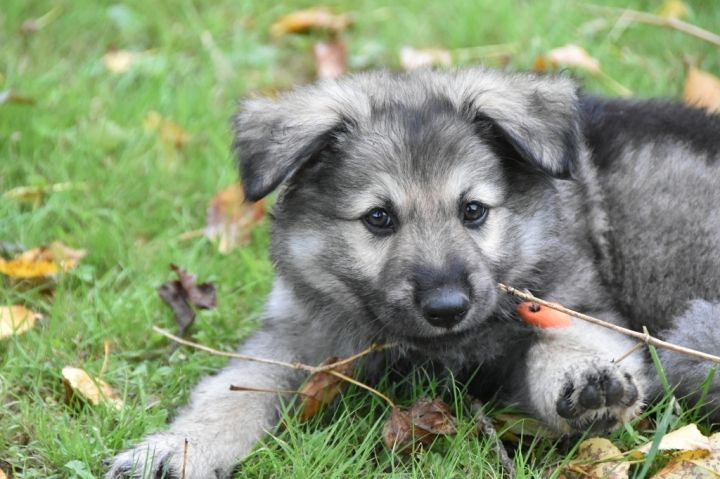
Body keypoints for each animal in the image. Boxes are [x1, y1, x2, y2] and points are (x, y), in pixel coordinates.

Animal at [108, 68, 720, 478]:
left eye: (473, 210)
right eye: (379, 218)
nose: (447, 308)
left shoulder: (578, 305)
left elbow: (567, 341)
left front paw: (587, 380)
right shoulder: (295, 335)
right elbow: (232, 392)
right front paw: (179, 447)